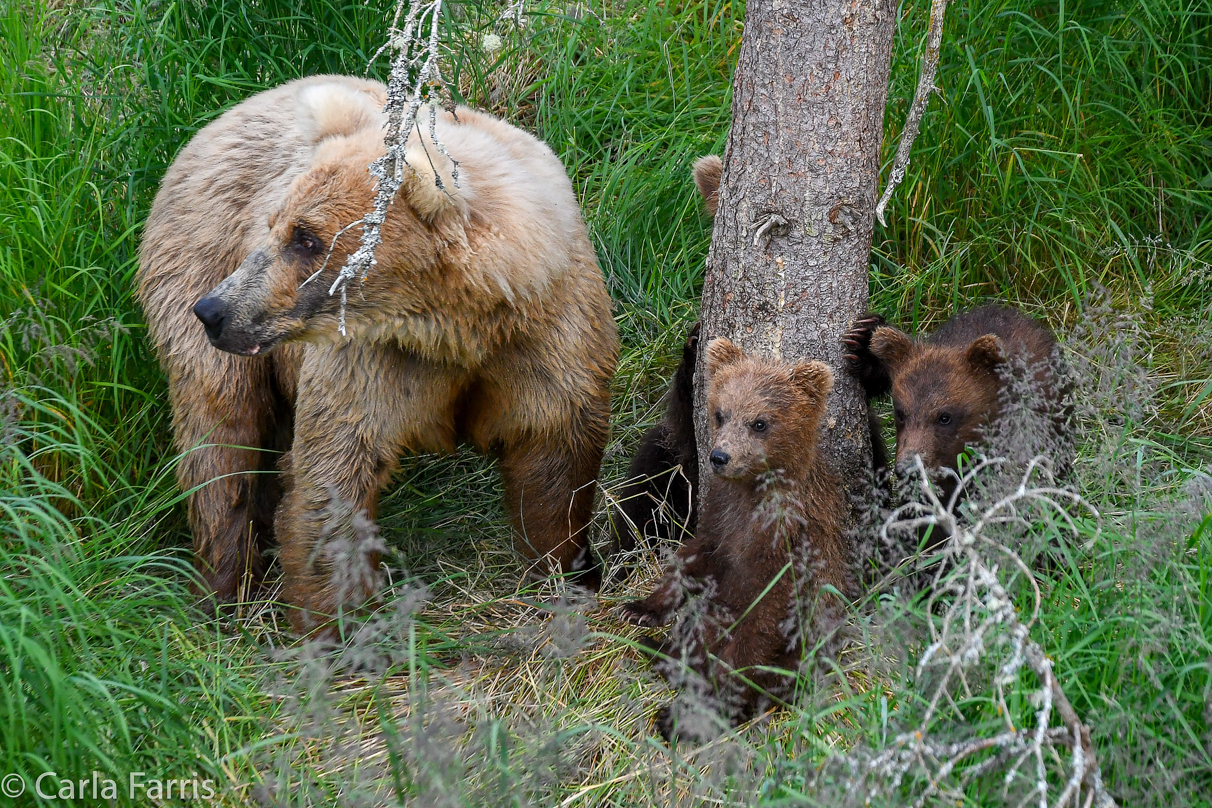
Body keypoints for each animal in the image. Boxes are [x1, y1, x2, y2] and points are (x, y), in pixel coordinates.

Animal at [137, 75, 620, 629]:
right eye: (276, 224)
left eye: (306, 238)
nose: (215, 310)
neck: (460, 327)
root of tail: (229, 113)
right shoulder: (369, 360)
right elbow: (333, 473)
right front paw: (335, 624)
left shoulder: (545, 340)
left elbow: (554, 458)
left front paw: (565, 570)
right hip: (197, 256)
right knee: (219, 439)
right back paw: (224, 587)